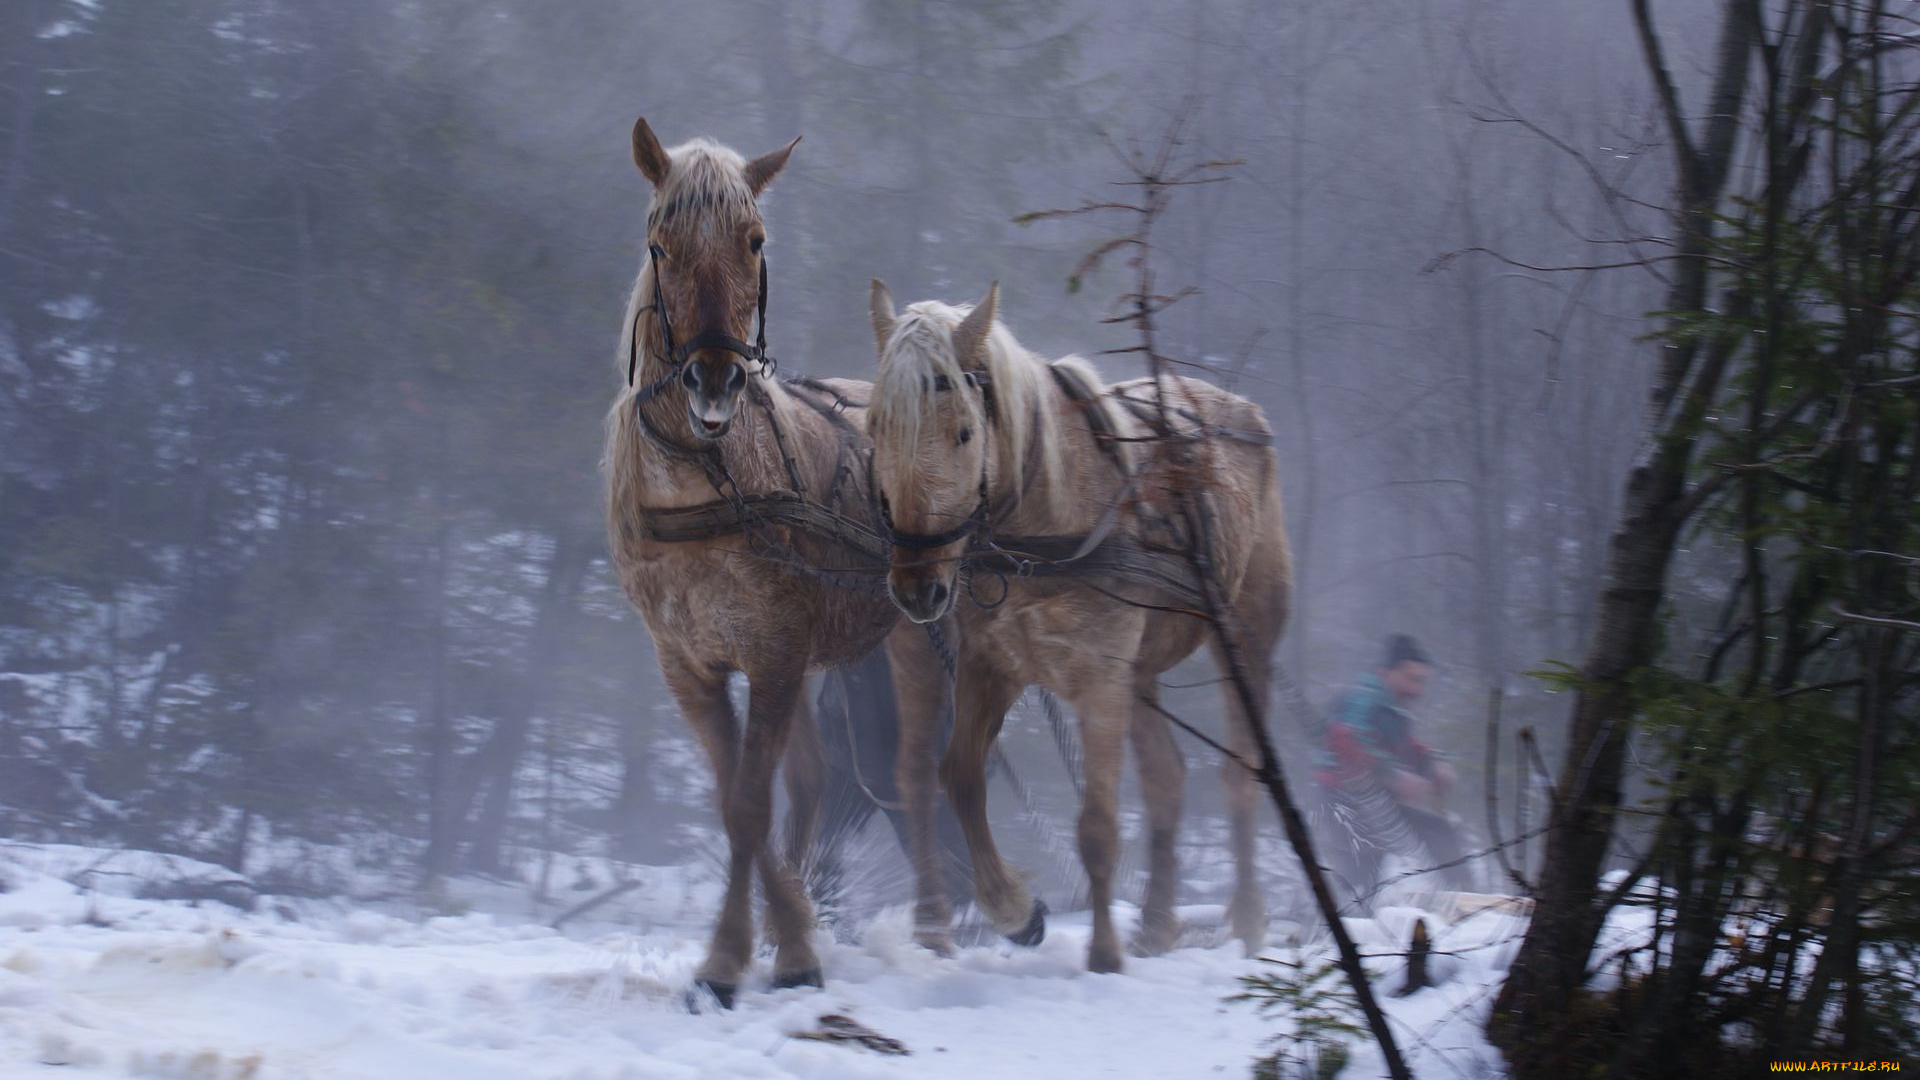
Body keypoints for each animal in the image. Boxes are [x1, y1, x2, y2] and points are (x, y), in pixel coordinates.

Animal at [602, 119, 948, 999]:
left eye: (754, 240)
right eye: (660, 243)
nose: (714, 380)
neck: (708, 484)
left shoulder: (775, 651)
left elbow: (751, 805)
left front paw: (746, 955)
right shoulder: (692, 664)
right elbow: (741, 801)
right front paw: (776, 939)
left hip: (914, 633)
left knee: (915, 774)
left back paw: (937, 928)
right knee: (820, 779)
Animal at [867, 278, 1290, 968]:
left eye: (964, 433)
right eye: (876, 428)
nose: (916, 587)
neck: (1046, 523)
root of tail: (1246, 414)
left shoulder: (1098, 677)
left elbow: (1096, 824)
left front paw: (1103, 956)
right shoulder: (991, 666)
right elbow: (960, 776)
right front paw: (1013, 910)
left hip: (1245, 635)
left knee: (1239, 774)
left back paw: (1248, 922)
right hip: (1139, 672)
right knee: (1167, 778)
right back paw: (1156, 926)